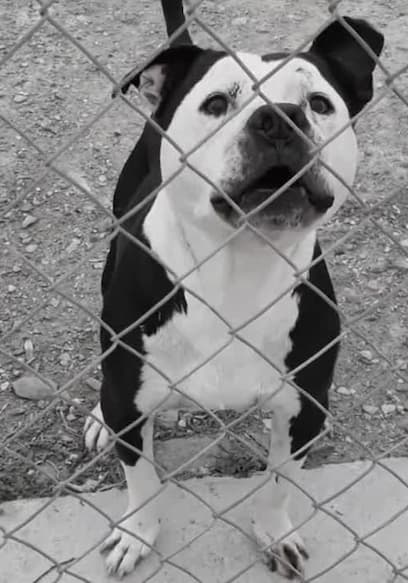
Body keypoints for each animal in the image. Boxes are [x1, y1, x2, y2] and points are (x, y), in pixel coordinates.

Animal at [84, 1, 384, 578]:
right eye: (217, 103)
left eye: (318, 103)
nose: (280, 117)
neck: (238, 267)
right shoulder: (129, 403)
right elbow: (142, 479)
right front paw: (137, 533)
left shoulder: (302, 408)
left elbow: (281, 481)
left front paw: (274, 532)